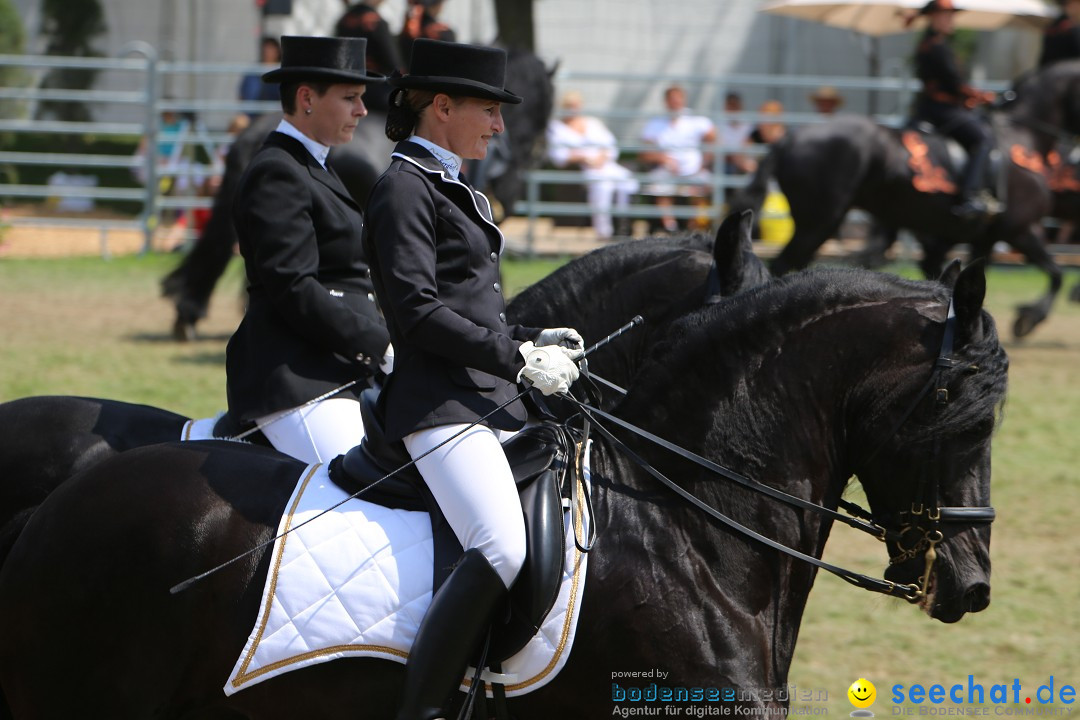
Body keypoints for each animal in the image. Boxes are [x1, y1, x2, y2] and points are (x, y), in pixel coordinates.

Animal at [734, 59, 1080, 341]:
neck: (1023, 141)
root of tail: (792, 137)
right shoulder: (1018, 229)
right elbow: (1055, 273)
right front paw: (1029, 318)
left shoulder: (974, 237)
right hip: (819, 222)